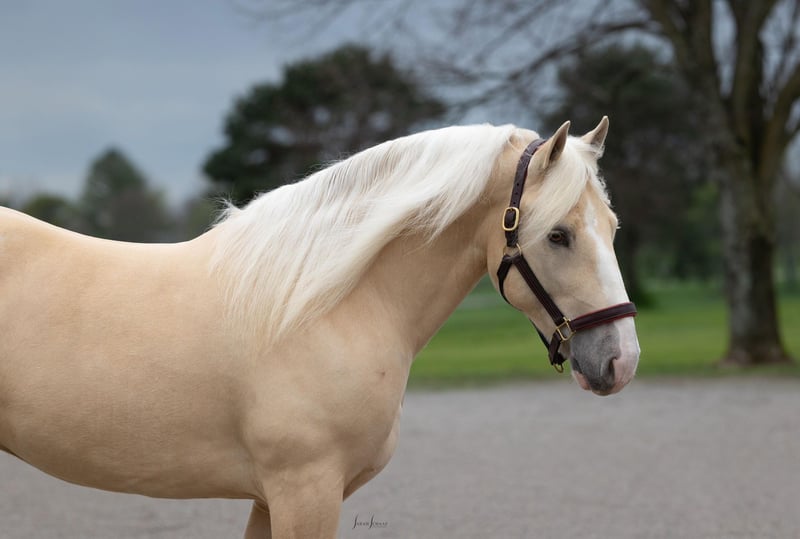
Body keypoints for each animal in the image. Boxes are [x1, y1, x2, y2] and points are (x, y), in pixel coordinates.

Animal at [0, 117, 639, 538]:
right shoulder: (303, 490)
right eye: (558, 234)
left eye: (611, 226)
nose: (621, 361)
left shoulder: (273, 499)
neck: (321, 307)